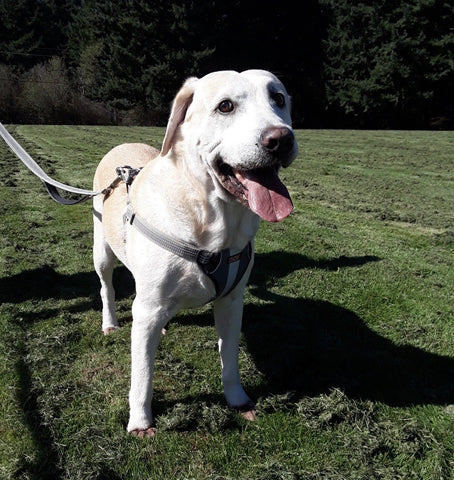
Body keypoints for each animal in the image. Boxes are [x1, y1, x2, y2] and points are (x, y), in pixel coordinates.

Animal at [92, 69, 298, 436]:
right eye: (225, 106)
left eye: (279, 99)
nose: (281, 139)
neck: (212, 221)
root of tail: (122, 147)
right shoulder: (147, 307)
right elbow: (142, 373)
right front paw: (140, 420)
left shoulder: (232, 301)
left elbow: (230, 358)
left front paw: (238, 400)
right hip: (101, 251)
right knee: (108, 288)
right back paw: (111, 322)